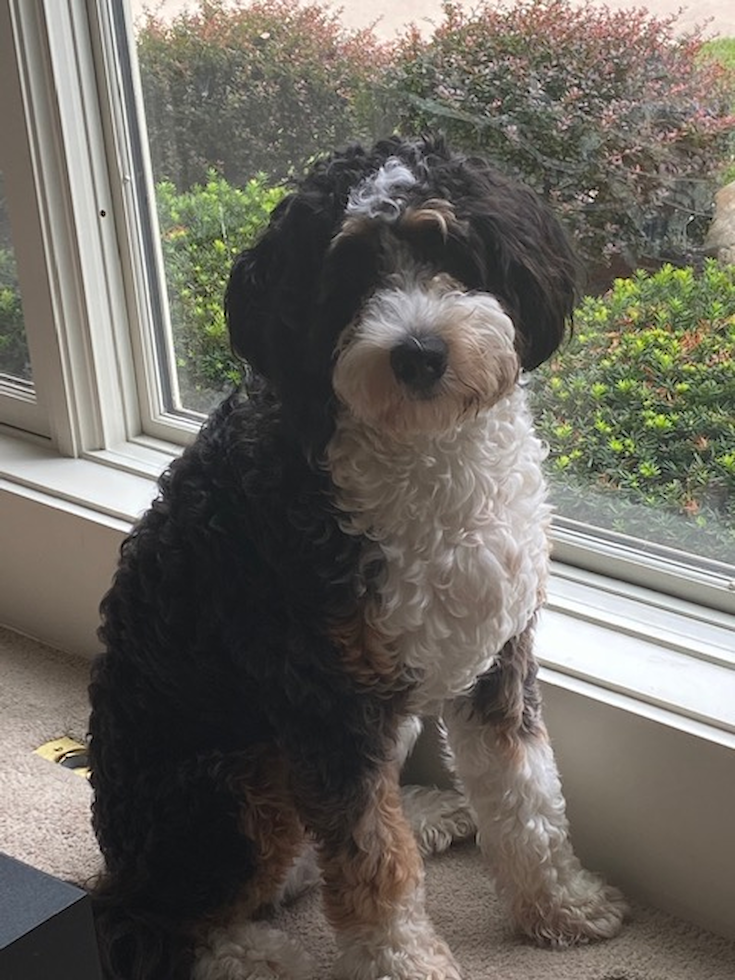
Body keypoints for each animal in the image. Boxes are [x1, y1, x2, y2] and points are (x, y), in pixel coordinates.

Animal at [87, 132, 628, 980]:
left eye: (449, 248)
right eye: (345, 274)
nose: (420, 353)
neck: (429, 459)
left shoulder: (496, 655)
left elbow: (526, 792)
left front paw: (559, 903)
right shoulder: (325, 702)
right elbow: (372, 859)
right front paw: (403, 963)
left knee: (306, 863)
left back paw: (428, 811)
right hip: (235, 784)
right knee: (155, 923)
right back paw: (267, 959)